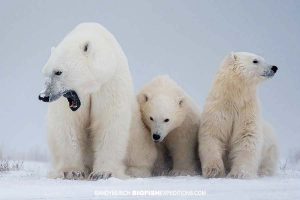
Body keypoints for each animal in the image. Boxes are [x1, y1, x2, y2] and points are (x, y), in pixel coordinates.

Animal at [38, 23, 149, 180]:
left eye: (58, 72)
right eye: (45, 73)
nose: (43, 96)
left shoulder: (109, 84)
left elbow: (109, 122)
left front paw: (103, 173)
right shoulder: (67, 101)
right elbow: (68, 125)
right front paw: (71, 172)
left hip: (138, 133)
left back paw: (134, 171)